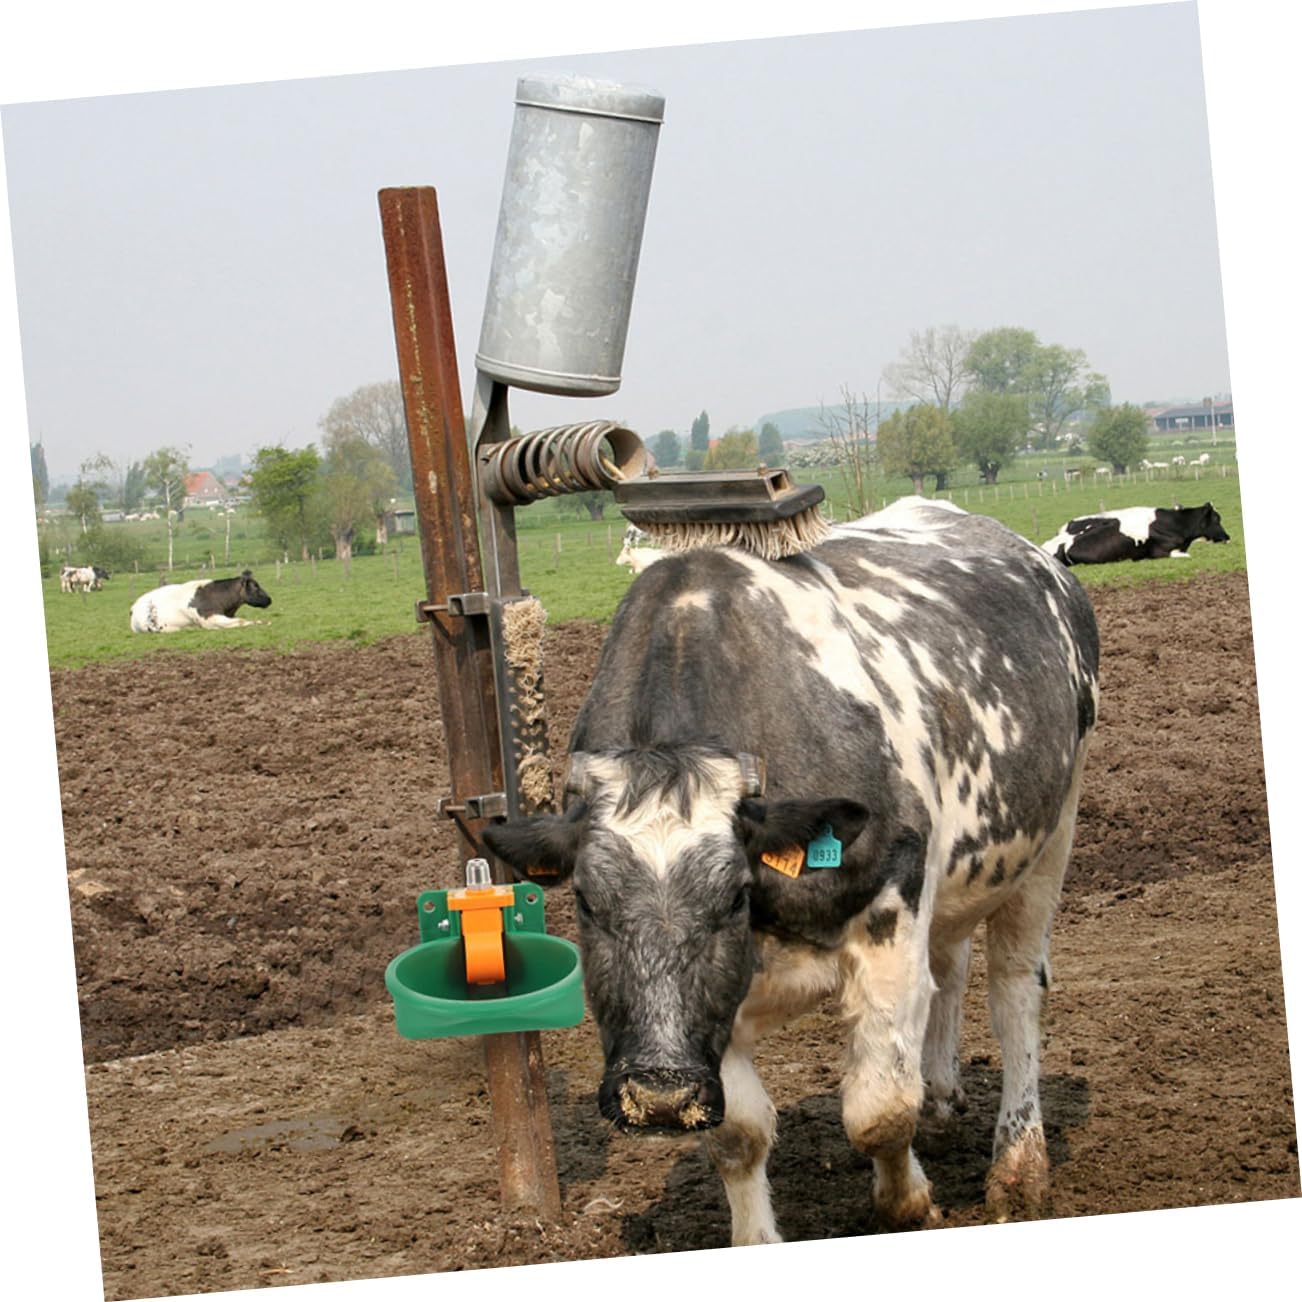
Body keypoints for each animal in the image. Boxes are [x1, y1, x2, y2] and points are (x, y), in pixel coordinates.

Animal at [129, 570, 272, 632]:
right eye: (256, 586)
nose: (269, 600)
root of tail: (134, 607)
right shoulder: (210, 619)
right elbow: (240, 621)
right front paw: (262, 622)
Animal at [482, 497, 1099, 1244]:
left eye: (731, 898)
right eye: (588, 903)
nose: (658, 1095)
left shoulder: (891, 915)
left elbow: (880, 1109)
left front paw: (908, 1202)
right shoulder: (719, 1008)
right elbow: (738, 1136)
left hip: (1052, 832)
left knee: (1014, 993)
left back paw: (1019, 1165)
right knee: (949, 967)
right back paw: (944, 1100)